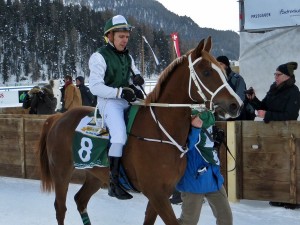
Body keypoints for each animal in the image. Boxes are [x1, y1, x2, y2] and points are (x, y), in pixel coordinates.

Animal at [37, 36, 244, 224]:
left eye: (222, 71)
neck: (160, 129)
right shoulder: (156, 194)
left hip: (95, 174)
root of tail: (58, 118)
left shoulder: (161, 193)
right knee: (60, 208)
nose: (236, 105)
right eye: (207, 72)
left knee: (80, 200)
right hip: (61, 172)